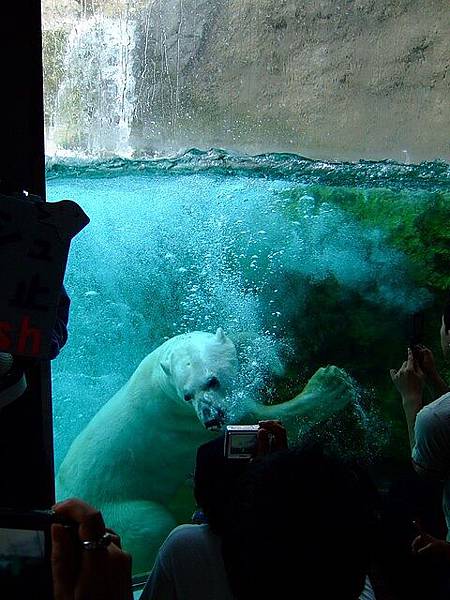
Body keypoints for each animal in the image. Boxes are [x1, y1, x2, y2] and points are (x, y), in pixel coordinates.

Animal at [56, 330, 356, 576]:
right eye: (187, 395)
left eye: (212, 380)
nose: (211, 417)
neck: (159, 380)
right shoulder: (185, 423)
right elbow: (255, 421)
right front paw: (330, 383)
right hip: (117, 507)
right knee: (152, 523)